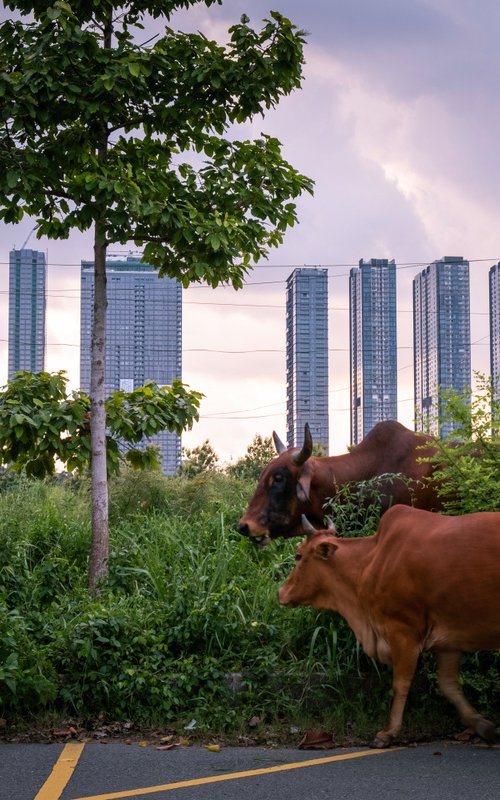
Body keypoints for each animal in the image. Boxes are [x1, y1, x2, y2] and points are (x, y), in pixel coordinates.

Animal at [278, 510, 500, 748]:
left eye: (298, 555)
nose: (281, 592)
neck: (371, 562)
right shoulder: (448, 640)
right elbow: (448, 684)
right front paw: (482, 725)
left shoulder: (403, 632)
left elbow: (401, 684)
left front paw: (388, 732)